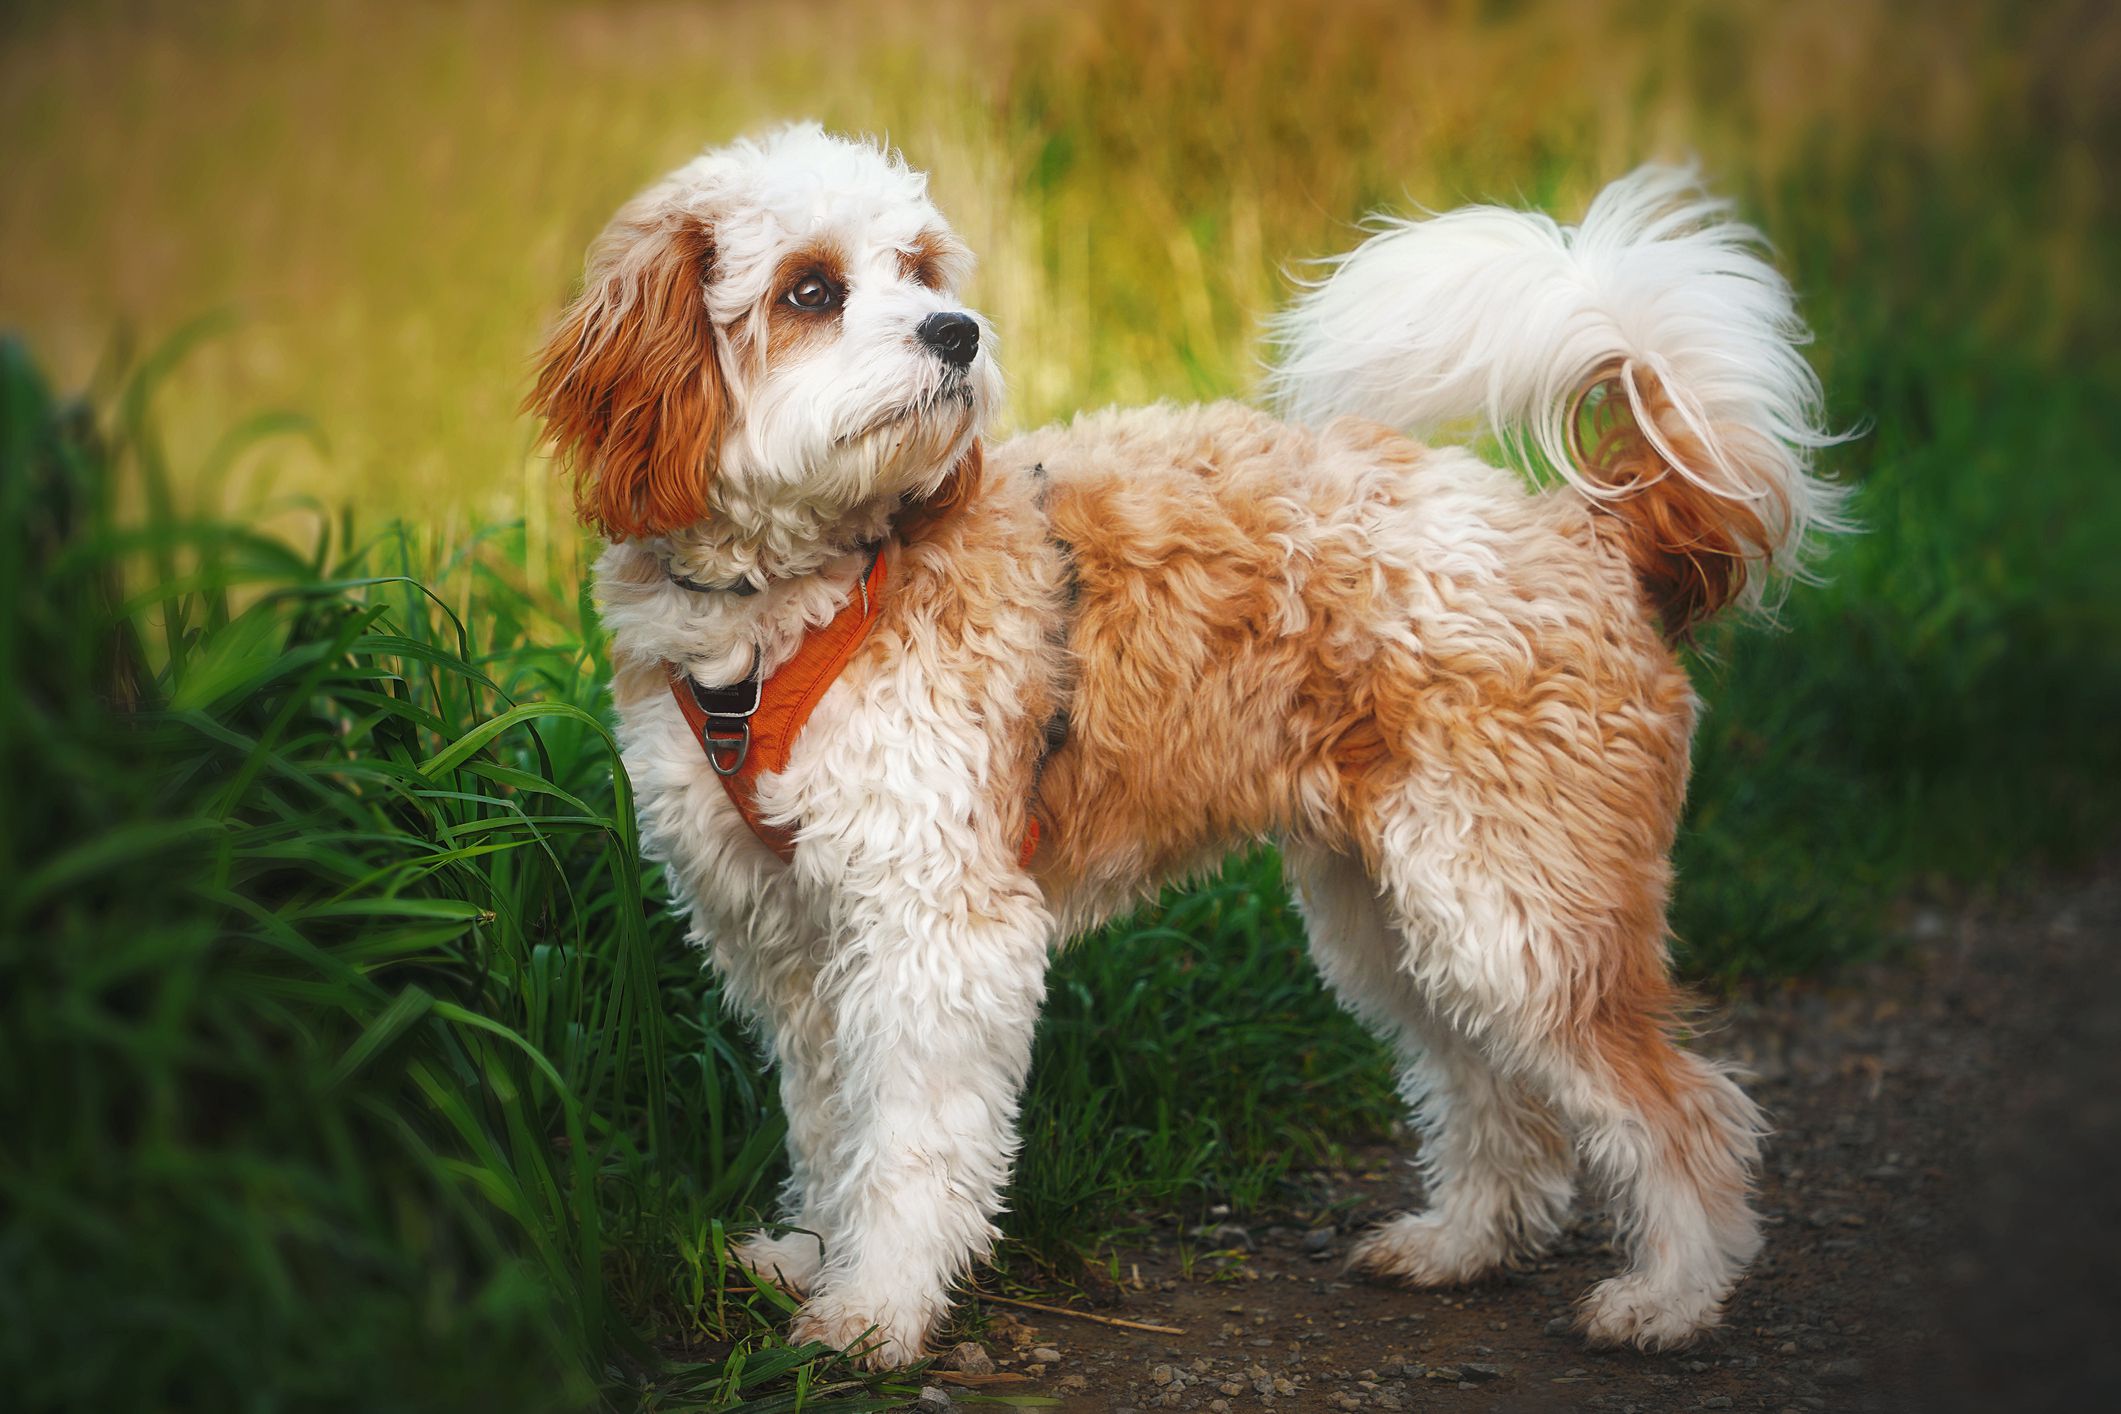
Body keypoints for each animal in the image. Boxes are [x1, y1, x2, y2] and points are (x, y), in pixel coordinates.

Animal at [526, 124, 1841, 1373]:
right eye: (809, 289)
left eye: (919, 269)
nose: (957, 331)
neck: (810, 596)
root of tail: (1587, 533)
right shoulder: (781, 931)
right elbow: (825, 1118)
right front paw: (810, 1249)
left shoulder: (933, 923)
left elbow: (904, 1140)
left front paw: (876, 1309)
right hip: (1403, 914)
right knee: (1495, 1090)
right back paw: (1465, 1243)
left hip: (1519, 910)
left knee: (1686, 1110)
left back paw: (1672, 1297)